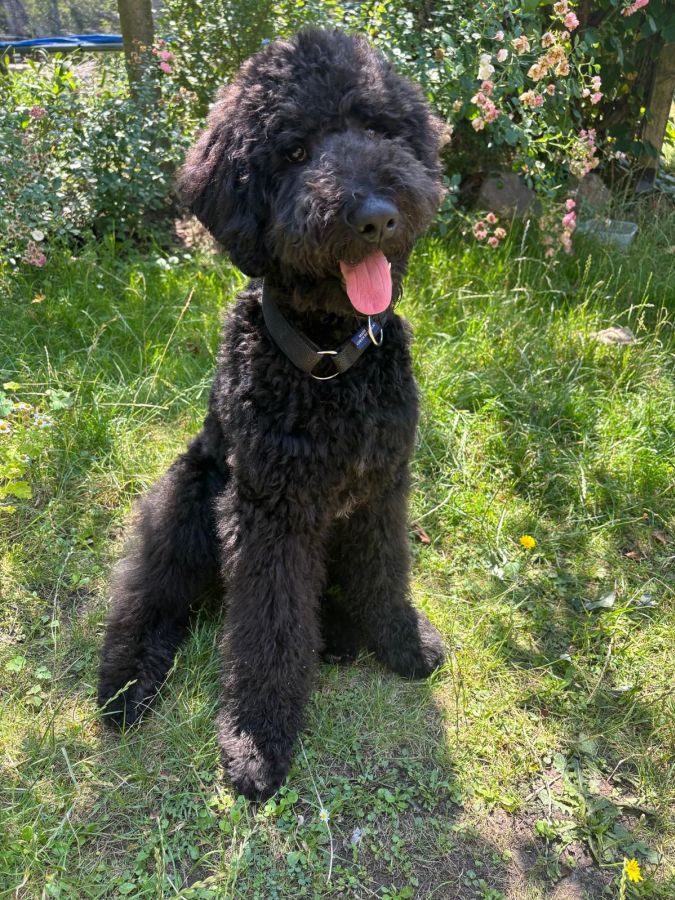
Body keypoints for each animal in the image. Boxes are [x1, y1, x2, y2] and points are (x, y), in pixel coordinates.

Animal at [98, 27, 446, 800]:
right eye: (293, 150)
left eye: (378, 128)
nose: (375, 214)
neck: (329, 367)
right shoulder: (270, 515)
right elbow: (269, 629)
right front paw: (256, 740)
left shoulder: (381, 491)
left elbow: (385, 573)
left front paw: (402, 642)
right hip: (186, 500)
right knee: (148, 598)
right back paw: (125, 683)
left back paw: (341, 636)